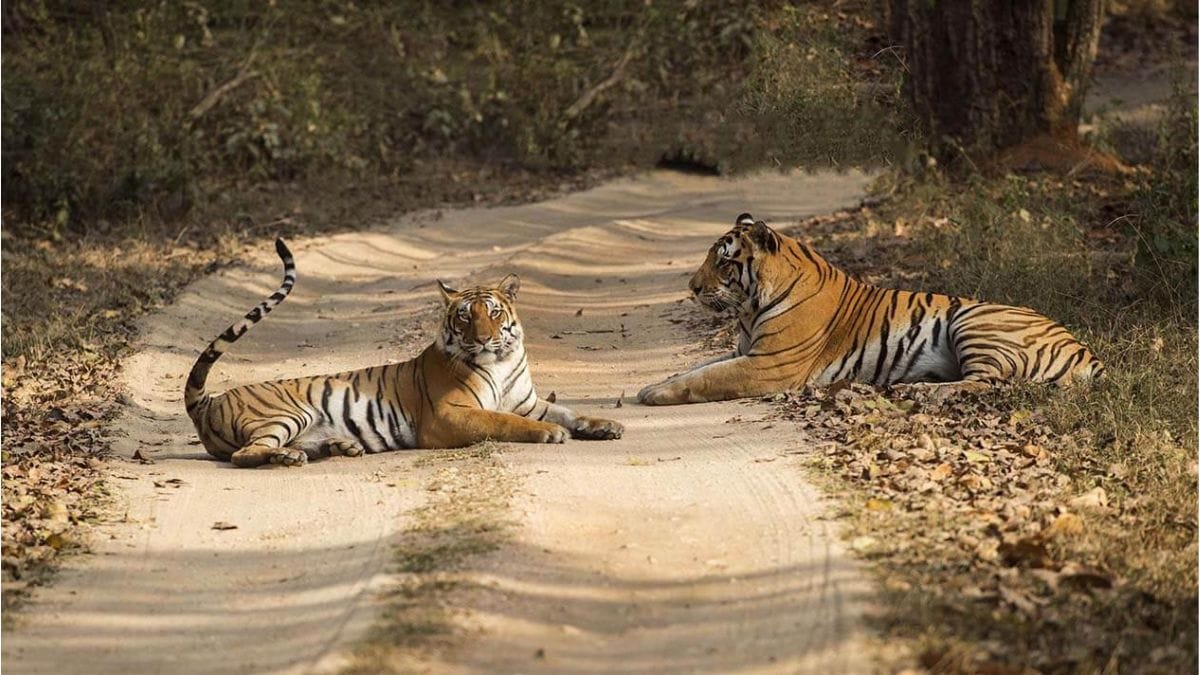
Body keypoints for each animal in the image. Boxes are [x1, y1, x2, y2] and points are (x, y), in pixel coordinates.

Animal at [185, 238, 623, 468]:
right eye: (465, 316)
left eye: (494, 312)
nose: (484, 339)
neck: (499, 362)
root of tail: (207, 403)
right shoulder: (449, 414)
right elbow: (503, 420)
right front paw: (550, 433)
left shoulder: (528, 402)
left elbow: (569, 411)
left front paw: (605, 425)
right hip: (289, 413)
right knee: (245, 453)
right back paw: (288, 458)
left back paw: (341, 447)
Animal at [637, 213, 1103, 405]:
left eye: (724, 261)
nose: (692, 287)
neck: (750, 308)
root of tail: (1083, 347)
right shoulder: (746, 352)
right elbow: (696, 369)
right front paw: (654, 383)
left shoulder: (770, 364)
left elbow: (709, 377)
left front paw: (653, 394)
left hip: (975, 322)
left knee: (989, 382)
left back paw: (919, 392)